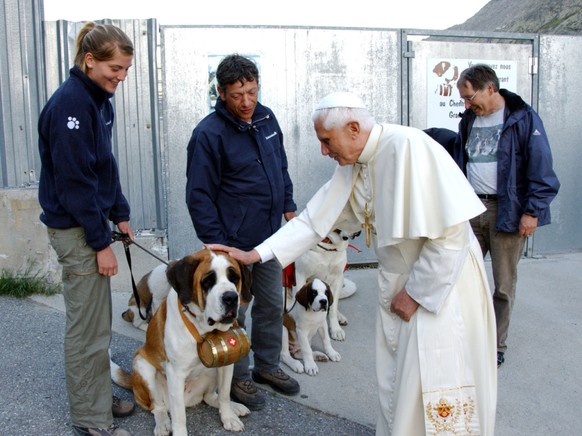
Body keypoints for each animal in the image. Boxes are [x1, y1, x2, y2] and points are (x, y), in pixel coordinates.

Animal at [112, 250, 253, 434]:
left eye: (234, 278)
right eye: (208, 281)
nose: (231, 297)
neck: (201, 327)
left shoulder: (227, 361)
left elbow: (224, 393)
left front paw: (229, 417)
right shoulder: (175, 373)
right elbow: (179, 416)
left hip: (212, 369)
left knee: (210, 397)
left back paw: (235, 407)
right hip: (142, 365)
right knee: (158, 407)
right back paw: (163, 424)